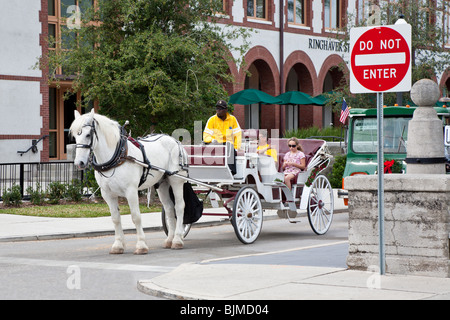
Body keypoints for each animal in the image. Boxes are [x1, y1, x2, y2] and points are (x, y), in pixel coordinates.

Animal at [71, 110, 187, 255]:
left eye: (88, 135)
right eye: (75, 136)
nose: (79, 163)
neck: (117, 156)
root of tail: (175, 141)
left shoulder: (131, 191)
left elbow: (136, 217)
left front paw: (141, 245)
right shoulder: (107, 194)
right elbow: (115, 218)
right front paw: (118, 245)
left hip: (176, 181)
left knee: (179, 206)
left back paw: (177, 239)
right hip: (163, 184)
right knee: (169, 209)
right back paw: (170, 240)